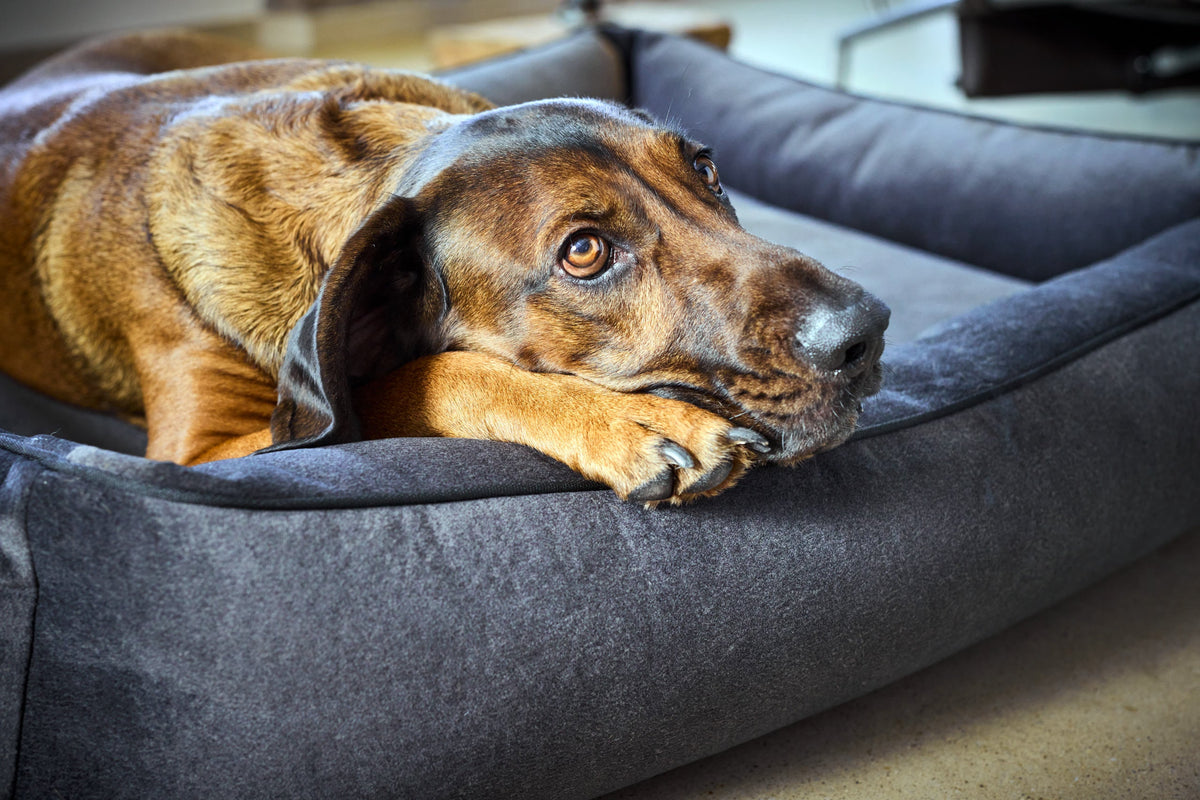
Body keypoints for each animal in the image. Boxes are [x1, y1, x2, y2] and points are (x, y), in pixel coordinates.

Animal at [2, 32, 892, 506]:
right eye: (585, 252)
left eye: (705, 169)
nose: (867, 333)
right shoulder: (208, 453)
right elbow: (409, 380)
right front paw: (633, 423)